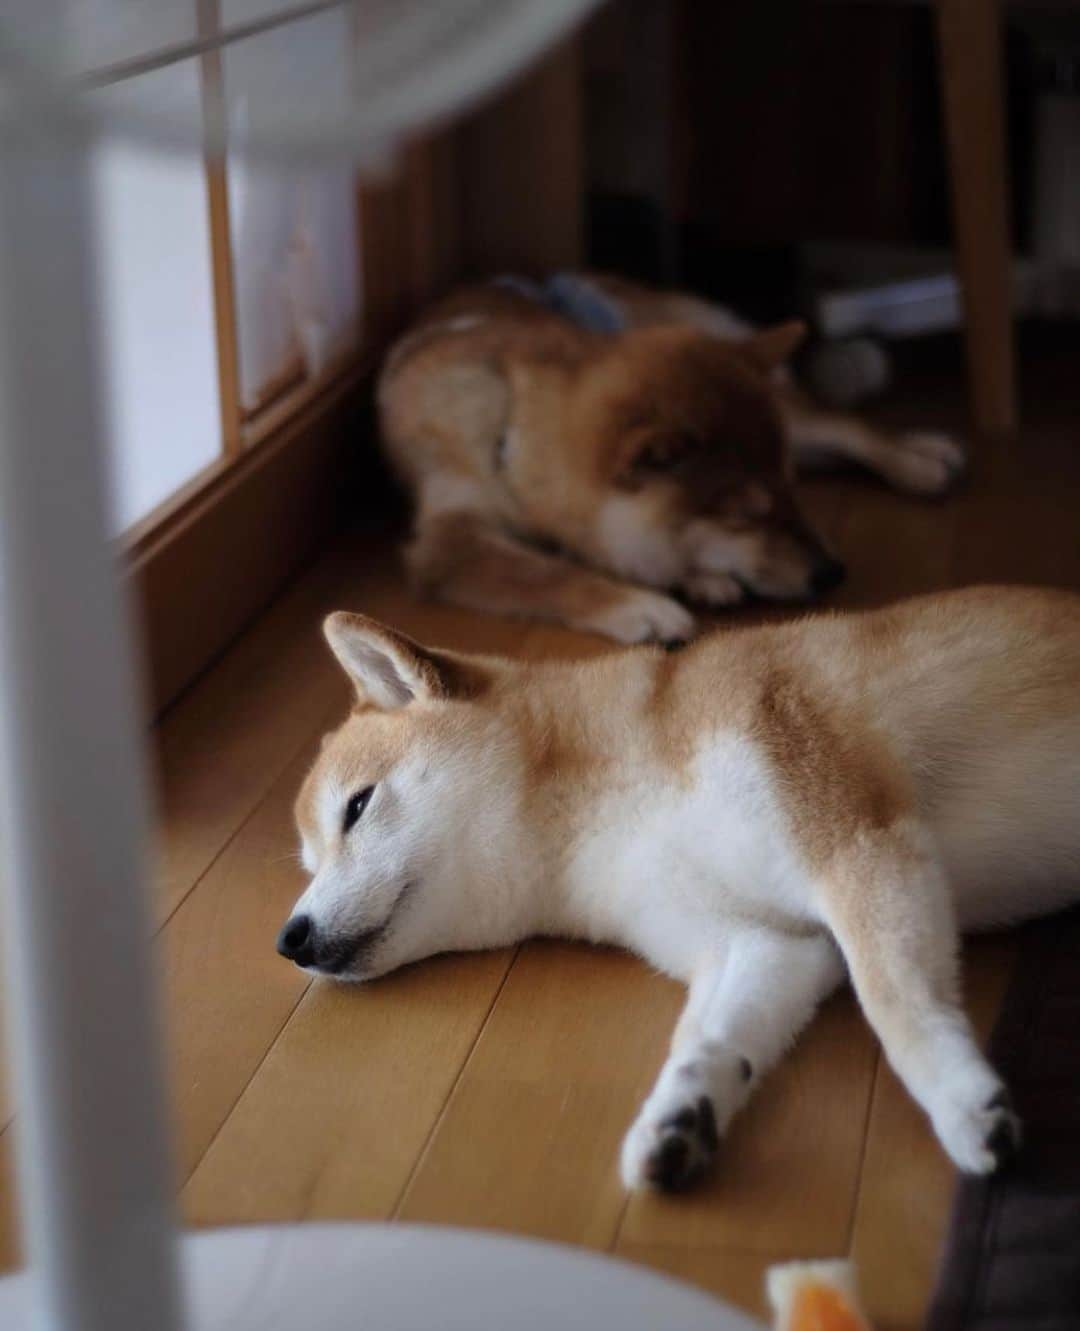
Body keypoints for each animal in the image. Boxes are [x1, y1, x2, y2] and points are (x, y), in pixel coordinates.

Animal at [278, 588, 1080, 1192]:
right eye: (309, 862)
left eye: (357, 807)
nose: (290, 938)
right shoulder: (764, 939)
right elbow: (710, 1039)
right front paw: (678, 1116)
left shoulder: (855, 837)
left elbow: (895, 1001)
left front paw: (963, 1102)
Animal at [378, 270, 964, 644]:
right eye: (746, 515)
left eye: (793, 496)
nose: (832, 573)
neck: (510, 426)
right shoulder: (449, 541)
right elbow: (543, 572)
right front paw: (644, 604)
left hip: (794, 417)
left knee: (844, 426)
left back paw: (920, 459)